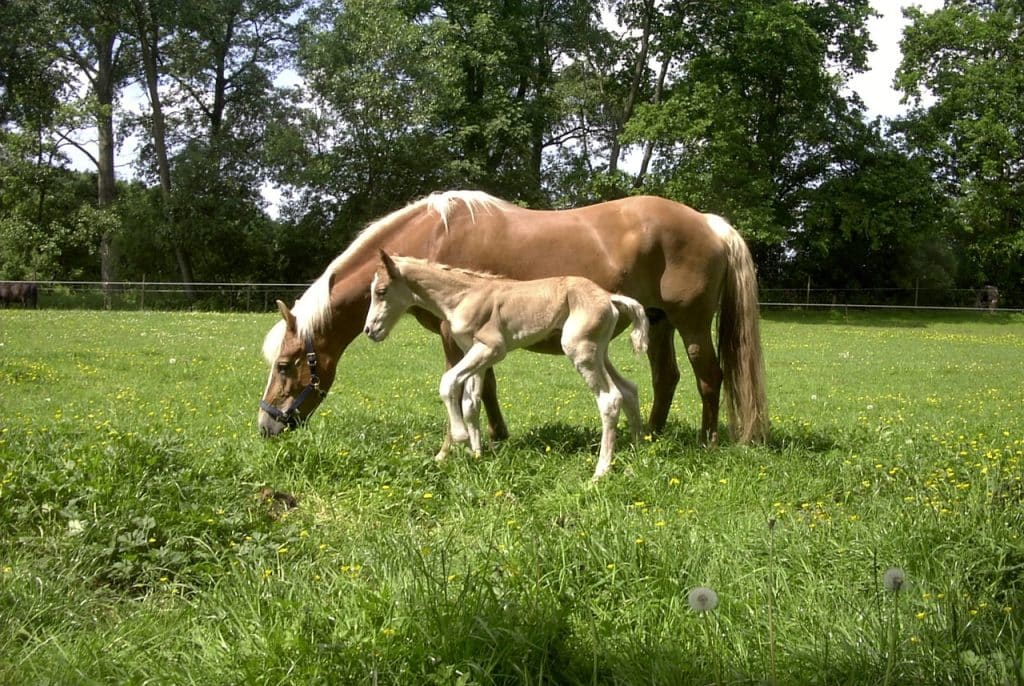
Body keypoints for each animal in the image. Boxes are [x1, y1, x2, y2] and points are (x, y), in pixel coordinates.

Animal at [256, 193, 770, 448]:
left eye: (283, 366)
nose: (266, 427)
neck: (431, 237)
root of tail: (708, 223)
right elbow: (486, 387)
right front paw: (494, 436)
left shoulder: (453, 336)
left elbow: (463, 387)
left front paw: (461, 443)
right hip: (659, 323)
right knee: (666, 378)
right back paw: (653, 436)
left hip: (692, 324)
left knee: (709, 377)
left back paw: (707, 441)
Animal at [362, 252, 647, 483]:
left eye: (382, 291)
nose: (369, 331)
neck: (463, 297)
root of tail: (609, 297)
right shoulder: (475, 354)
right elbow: (471, 403)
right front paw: (476, 455)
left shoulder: (492, 349)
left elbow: (448, 382)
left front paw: (460, 438)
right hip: (599, 353)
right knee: (629, 389)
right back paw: (637, 449)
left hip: (580, 350)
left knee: (610, 398)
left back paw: (600, 472)